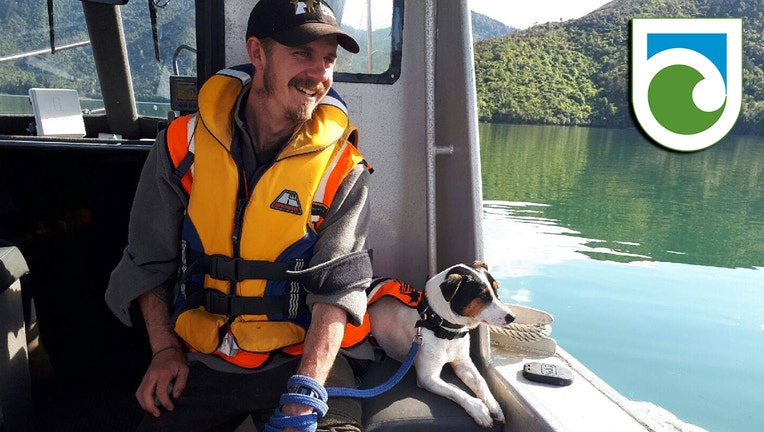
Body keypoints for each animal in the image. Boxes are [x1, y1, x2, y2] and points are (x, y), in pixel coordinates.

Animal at [368, 262, 516, 426]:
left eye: (497, 290)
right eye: (483, 295)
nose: (512, 317)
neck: (443, 327)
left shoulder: (463, 362)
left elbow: (480, 381)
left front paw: (494, 405)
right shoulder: (428, 378)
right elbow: (455, 390)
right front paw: (478, 409)